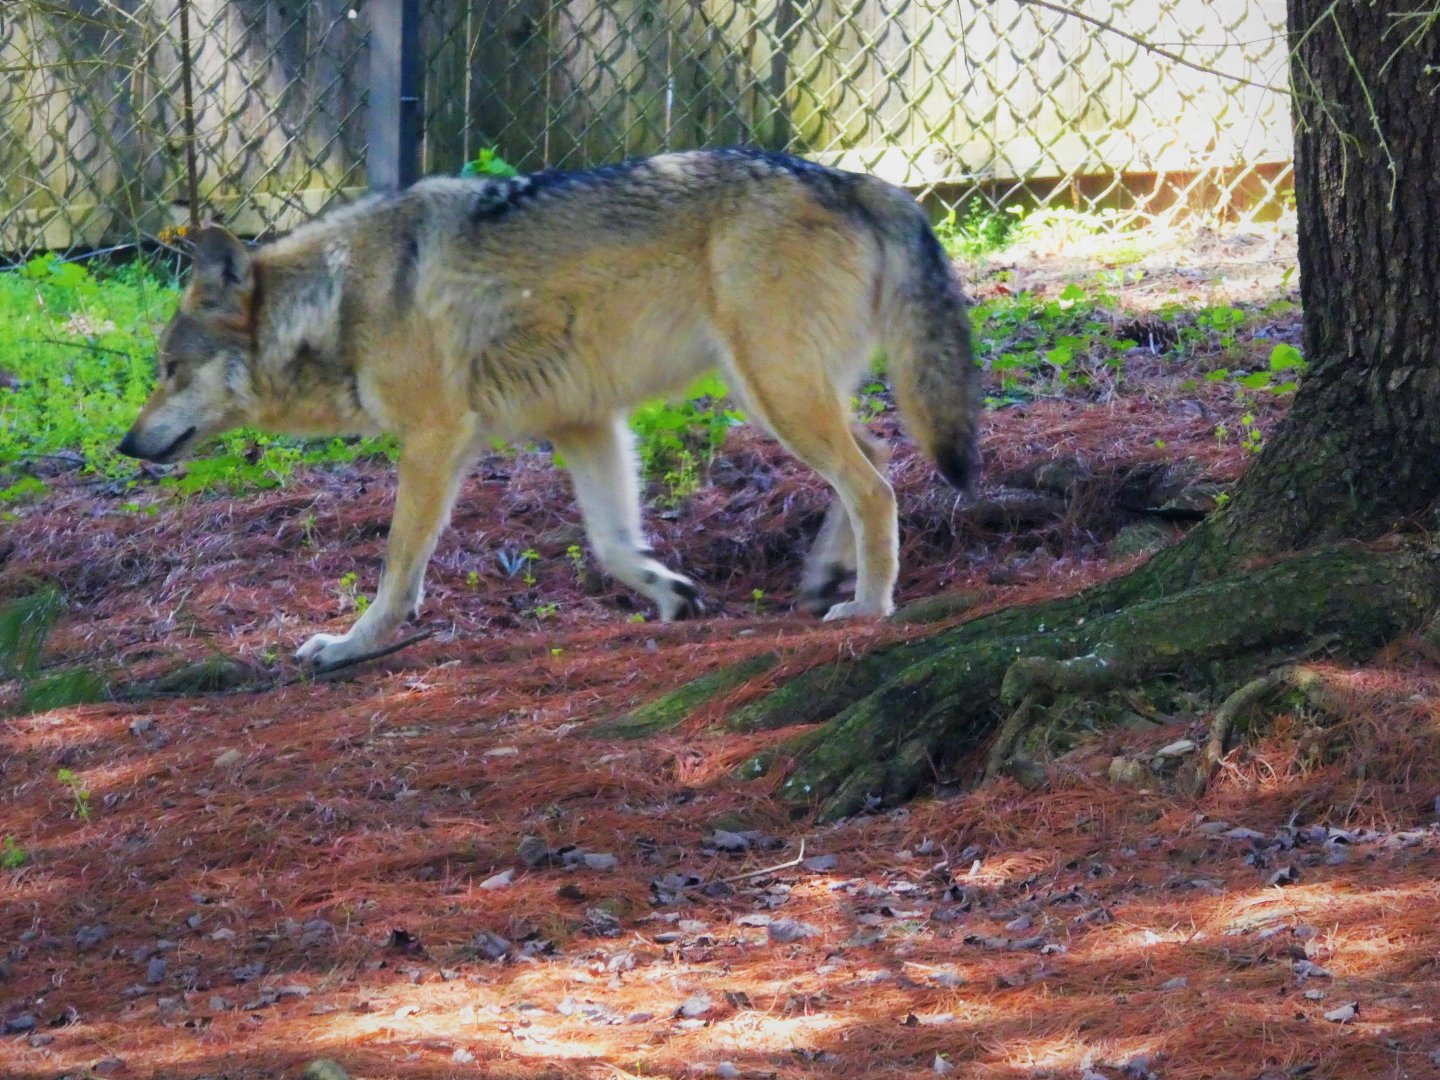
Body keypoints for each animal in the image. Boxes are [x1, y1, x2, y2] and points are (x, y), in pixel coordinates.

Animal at [118, 148, 980, 670]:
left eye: (168, 369)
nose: (126, 445)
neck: (339, 301)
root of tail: (856, 178)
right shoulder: (585, 425)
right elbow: (612, 544)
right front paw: (670, 592)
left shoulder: (435, 441)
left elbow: (397, 567)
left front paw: (352, 646)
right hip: (776, 394)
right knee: (878, 457)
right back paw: (830, 572)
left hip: (771, 392)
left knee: (876, 485)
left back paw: (869, 605)